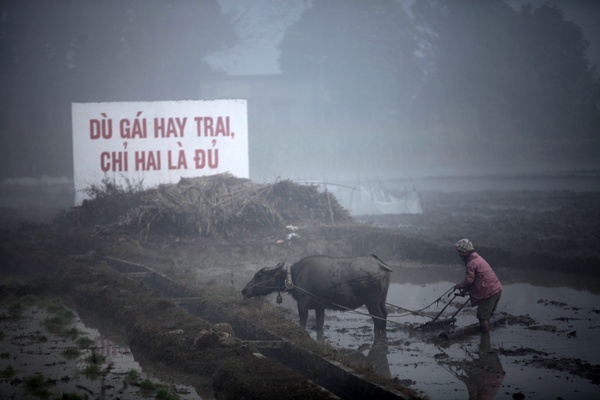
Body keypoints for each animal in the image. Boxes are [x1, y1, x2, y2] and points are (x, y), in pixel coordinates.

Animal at [241, 254, 392, 340]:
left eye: (258, 276)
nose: (244, 290)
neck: (293, 277)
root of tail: (379, 264)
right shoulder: (320, 307)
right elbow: (320, 324)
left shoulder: (302, 304)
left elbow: (303, 322)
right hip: (381, 300)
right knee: (384, 314)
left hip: (371, 302)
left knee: (378, 318)